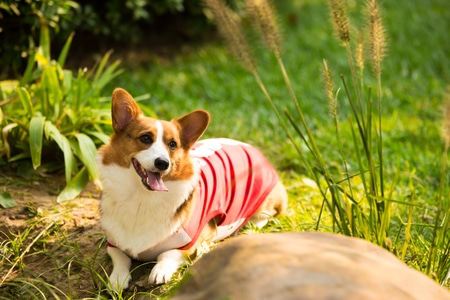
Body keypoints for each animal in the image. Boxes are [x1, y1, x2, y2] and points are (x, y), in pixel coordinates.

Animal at [97, 88, 288, 290]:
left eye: (172, 144)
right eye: (145, 138)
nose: (163, 163)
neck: (142, 197)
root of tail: (256, 150)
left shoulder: (190, 243)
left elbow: (167, 253)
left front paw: (159, 271)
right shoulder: (114, 242)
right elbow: (120, 258)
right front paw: (118, 278)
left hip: (264, 202)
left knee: (263, 217)